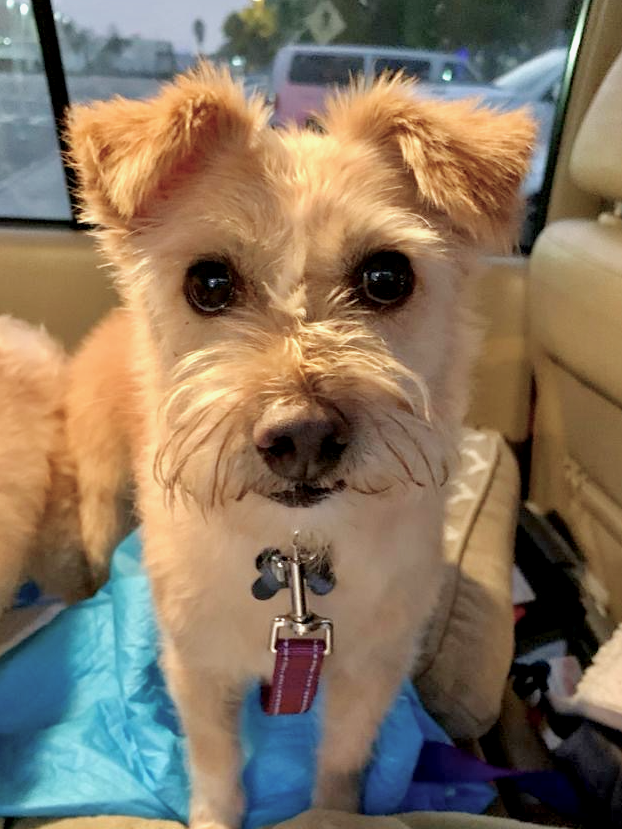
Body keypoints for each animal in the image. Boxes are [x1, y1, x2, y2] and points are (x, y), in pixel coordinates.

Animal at [65, 64, 534, 828]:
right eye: (209, 281)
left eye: (387, 276)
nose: (303, 435)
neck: (294, 556)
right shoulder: (199, 670)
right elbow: (216, 765)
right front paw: (214, 815)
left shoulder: (368, 674)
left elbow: (341, 763)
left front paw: (332, 810)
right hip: (105, 495)